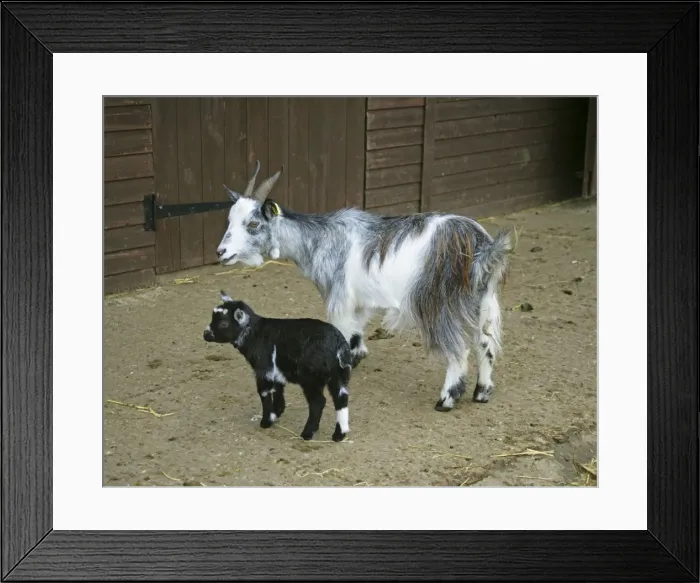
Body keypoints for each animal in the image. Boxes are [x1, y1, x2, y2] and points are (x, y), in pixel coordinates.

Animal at [203, 290, 353, 442]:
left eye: (223, 323)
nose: (205, 334)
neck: (254, 333)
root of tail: (338, 345)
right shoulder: (276, 371)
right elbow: (278, 390)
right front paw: (276, 413)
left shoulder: (263, 369)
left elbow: (264, 393)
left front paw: (266, 421)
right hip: (339, 374)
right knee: (341, 398)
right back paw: (339, 434)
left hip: (311, 377)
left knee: (318, 402)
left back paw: (307, 433)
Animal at [215, 161, 515, 412]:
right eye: (229, 220)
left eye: (253, 223)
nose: (221, 252)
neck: (321, 239)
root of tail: (483, 246)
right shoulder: (360, 301)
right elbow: (356, 333)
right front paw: (356, 357)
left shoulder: (339, 298)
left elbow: (342, 331)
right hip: (483, 300)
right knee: (485, 343)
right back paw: (482, 391)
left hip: (436, 304)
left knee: (458, 350)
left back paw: (447, 399)